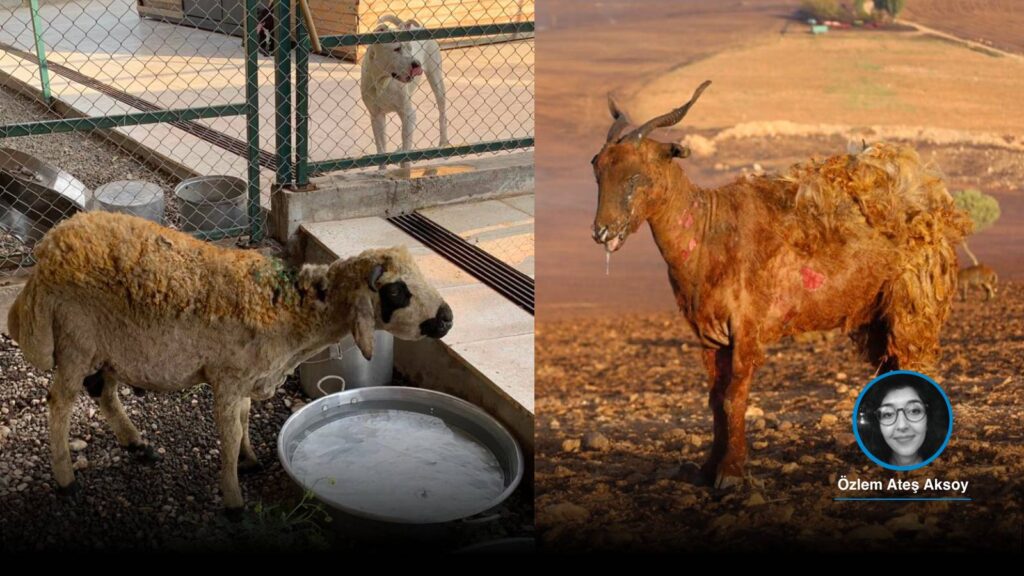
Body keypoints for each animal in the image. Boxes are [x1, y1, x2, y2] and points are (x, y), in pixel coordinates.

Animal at [362, 14, 450, 166]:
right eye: (396, 49)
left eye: (410, 48)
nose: (417, 64)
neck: (382, 81)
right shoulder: (376, 116)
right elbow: (381, 151)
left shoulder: (408, 114)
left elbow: (406, 152)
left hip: (436, 79)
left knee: (442, 113)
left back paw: (442, 143)